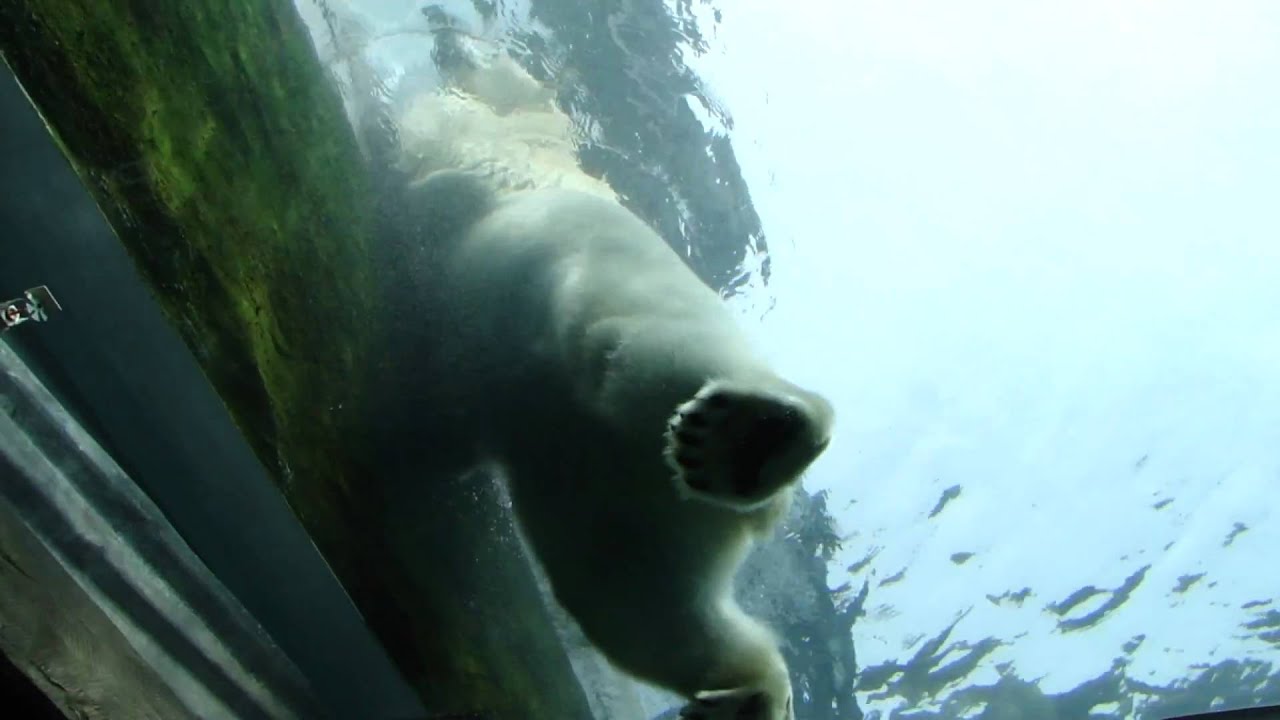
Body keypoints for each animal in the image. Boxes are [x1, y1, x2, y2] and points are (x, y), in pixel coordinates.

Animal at [372, 42, 834, 720]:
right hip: (617, 511)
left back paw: (756, 438)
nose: (444, 37)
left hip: (619, 289)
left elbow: (443, 179)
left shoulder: (495, 152)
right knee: (640, 609)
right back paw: (746, 694)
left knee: (636, 348)